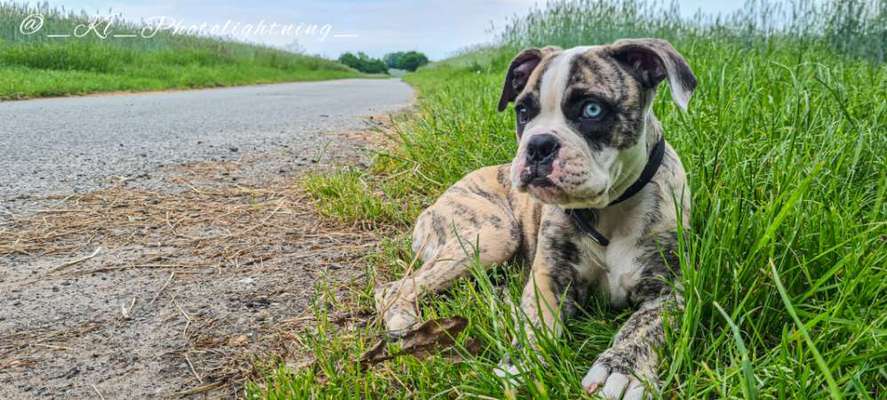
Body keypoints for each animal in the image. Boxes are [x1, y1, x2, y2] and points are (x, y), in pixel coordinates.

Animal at [372, 38, 692, 400]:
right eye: (523, 112)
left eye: (592, 110)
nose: (538, 144)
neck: (607, 209)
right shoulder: (547, 279)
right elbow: (536, 323)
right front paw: (521, 361)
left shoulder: (672, 291)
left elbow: (644, 327)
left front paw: (622, 368)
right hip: (492, 236)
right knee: (393, 288)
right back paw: (405, 323)